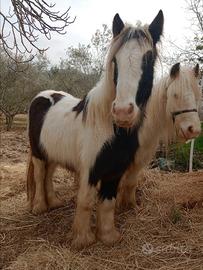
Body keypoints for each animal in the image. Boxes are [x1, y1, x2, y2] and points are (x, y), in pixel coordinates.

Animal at [27, 10, 164, 248]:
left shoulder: (115, 171)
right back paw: (40, 208)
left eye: (148, 59)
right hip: (38, 154)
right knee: (39, 175)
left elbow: (107, 203)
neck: (111, 130)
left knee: (48, 176)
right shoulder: (90, 170)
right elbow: (85, 201)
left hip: (52, 153)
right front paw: (82, 240)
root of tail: (43, 95)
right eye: (115, 60)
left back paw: (53, 202)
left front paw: (108, 236)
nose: (123, 112)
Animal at [117, 62, 201, 209]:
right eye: (175, 95)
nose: (193, 130)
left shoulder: (139, 161)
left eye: (197, 95)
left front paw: (132, 206)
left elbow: (130, 183)